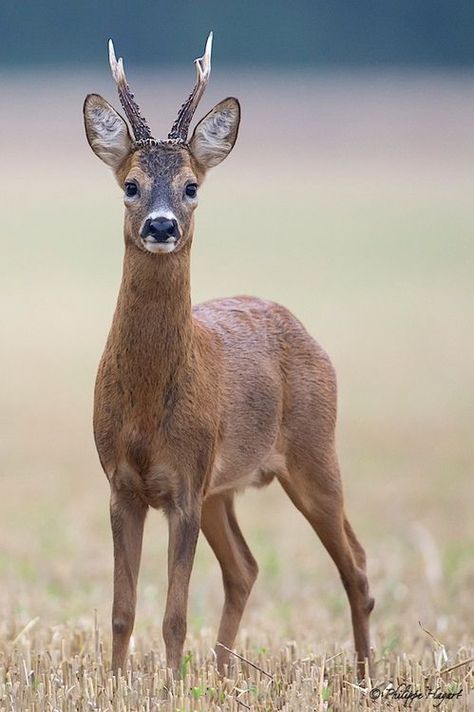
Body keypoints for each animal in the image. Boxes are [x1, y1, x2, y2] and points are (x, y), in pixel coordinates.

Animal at [84, 33, 374, 680]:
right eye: (129, 185)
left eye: (192, 186)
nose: (161, 225)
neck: (146, 409)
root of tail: (299, 326)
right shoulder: (123, 484)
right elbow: (121, 610)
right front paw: (116, 685)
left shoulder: (186, 485)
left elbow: (173, 614)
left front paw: (168, 687)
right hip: (225, 487)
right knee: (246, 568)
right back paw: (219, 676)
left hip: (315, 449)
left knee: (358, 564)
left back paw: (368, 678)